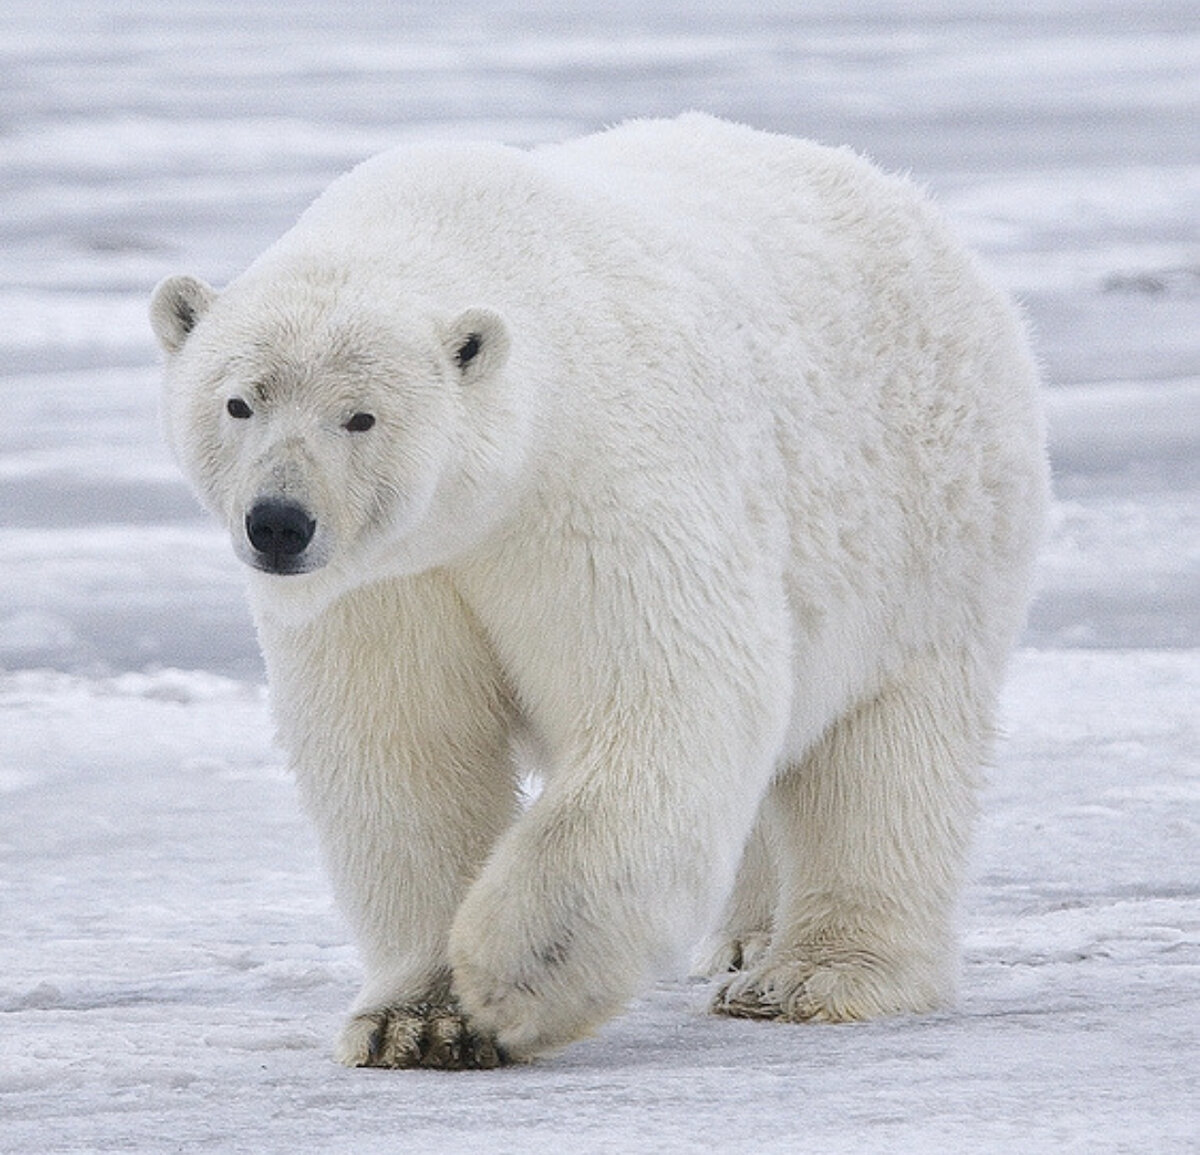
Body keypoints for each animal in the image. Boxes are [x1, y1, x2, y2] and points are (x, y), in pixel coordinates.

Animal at [152, 112, 1051, 1066]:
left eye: (361, 416)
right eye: (239, 402)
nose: (279, 522)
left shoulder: (597, 485)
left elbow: (668, 695)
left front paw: (510, 976)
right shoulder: (388, 580)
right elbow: (403, 748)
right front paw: (417, 1020)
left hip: (929, 525)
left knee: (886, 754)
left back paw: (810, 975)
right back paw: (743, 939)